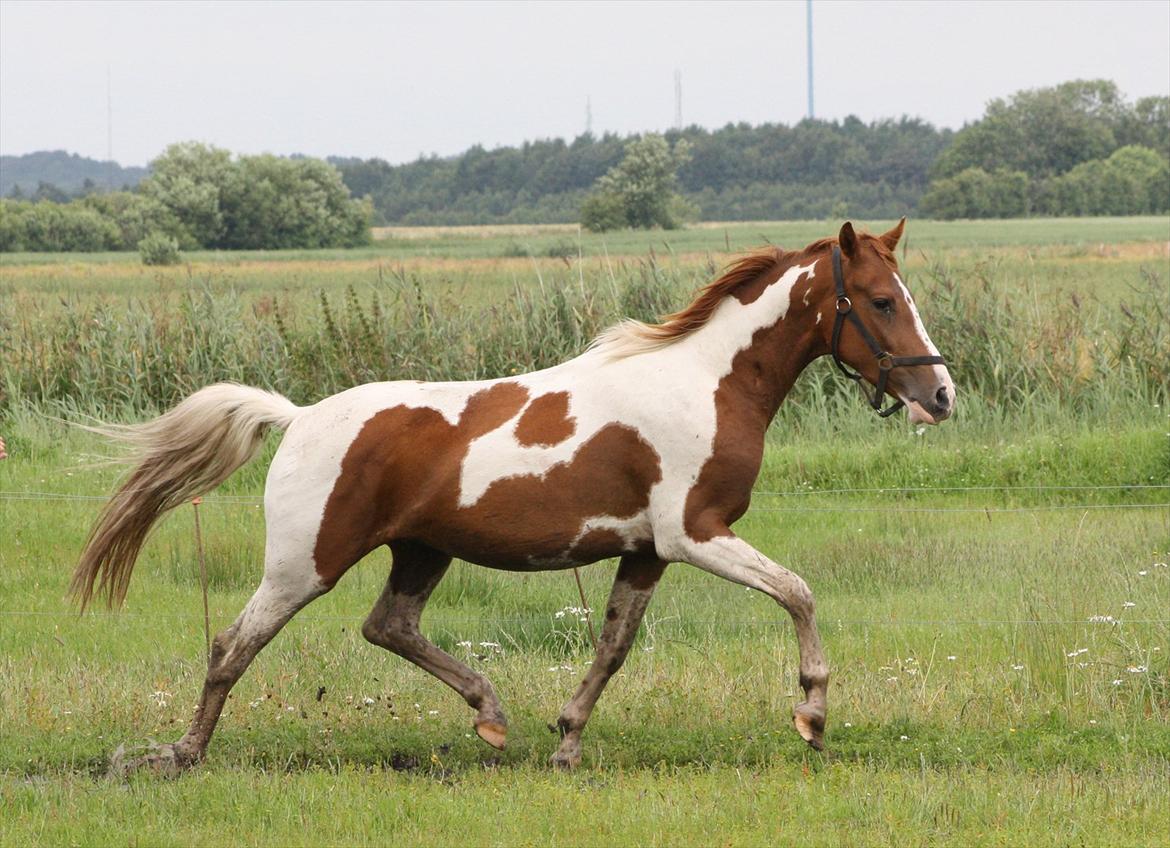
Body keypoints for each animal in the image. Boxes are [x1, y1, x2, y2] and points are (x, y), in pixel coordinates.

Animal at [70, 219, 950, 771]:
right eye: (881, 301)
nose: (939, 395)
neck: (708, 383)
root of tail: (299, 416)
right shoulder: (695, 533)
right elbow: (798, 592)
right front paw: (812, 716)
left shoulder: (646, 551)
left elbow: (613, 647)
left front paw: (565, 741)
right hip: (303, 564)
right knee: (232, 647)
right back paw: (180, 755)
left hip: (420, 552)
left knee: (387, 627)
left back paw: (491, 715)